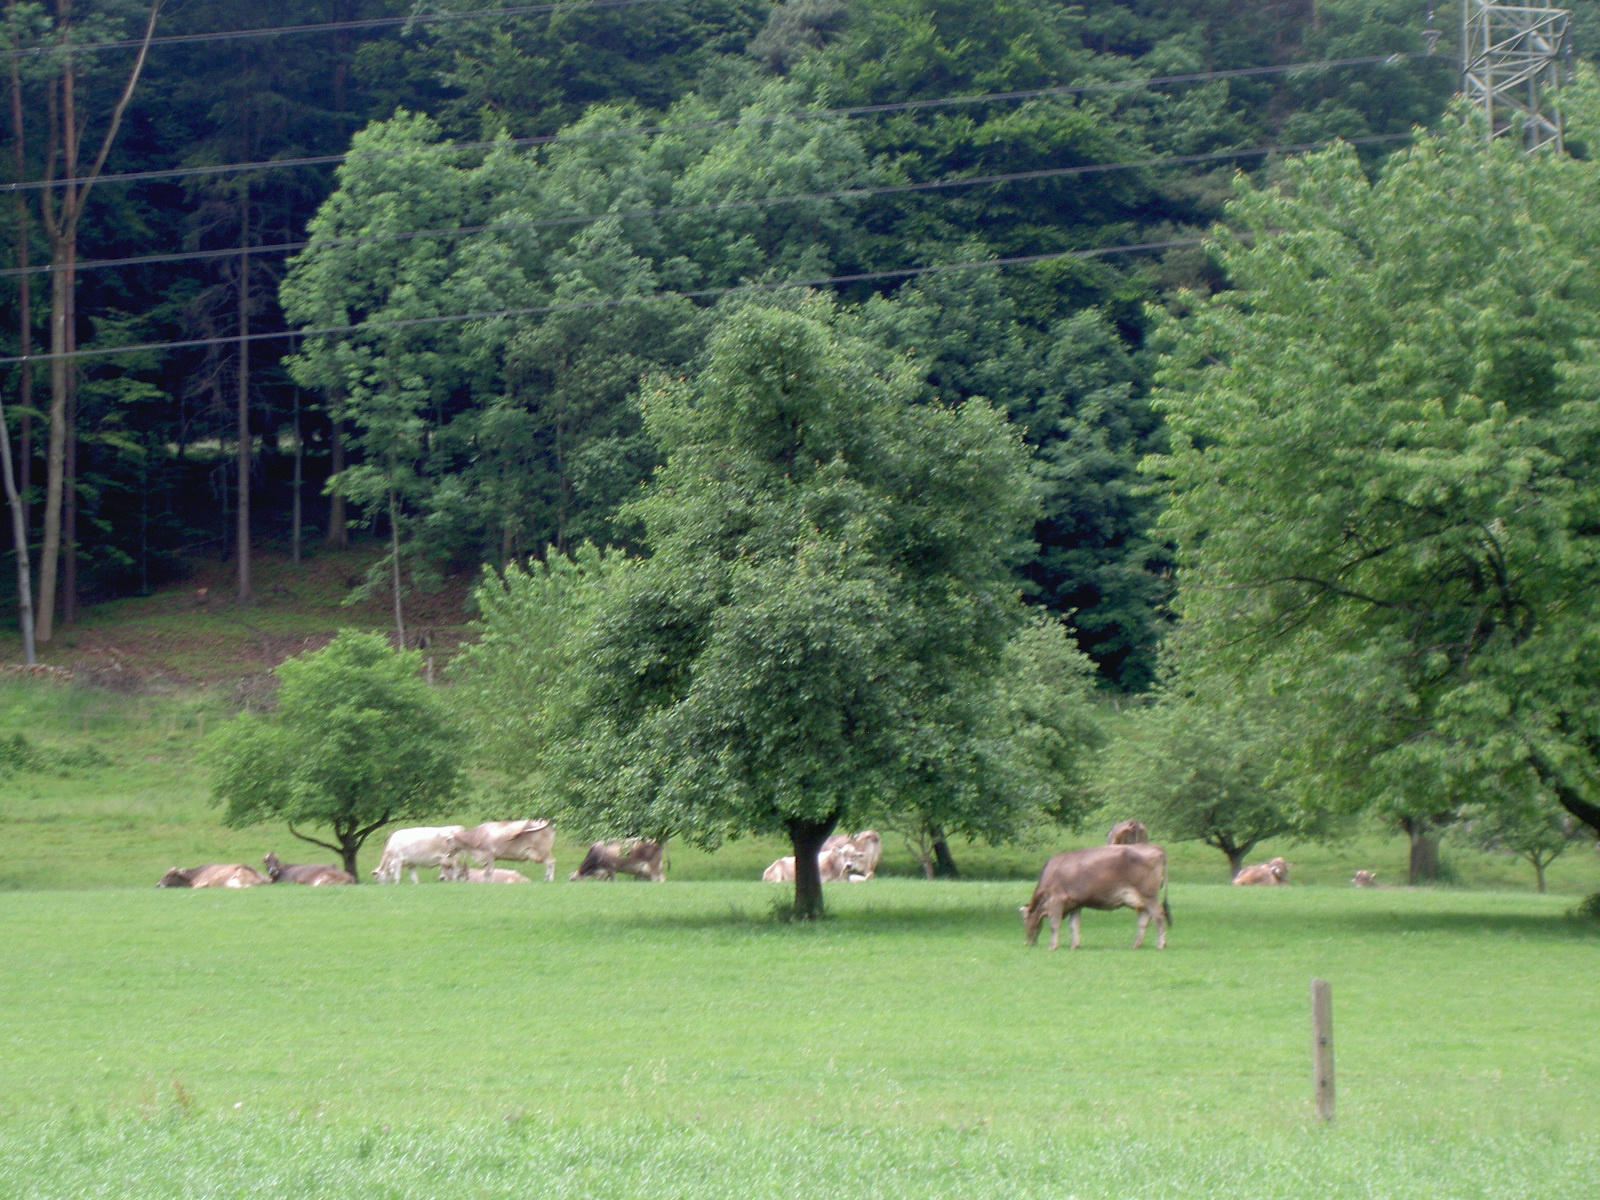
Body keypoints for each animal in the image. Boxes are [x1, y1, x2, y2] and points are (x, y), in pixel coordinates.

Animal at [1017, 838, 1171, 953]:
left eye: (1024, 920)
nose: (1027, 943)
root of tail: (1156, 847)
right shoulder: (1075, 903)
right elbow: (1074, 925)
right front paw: (1075, 945)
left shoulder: (1057, 900)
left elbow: (1054, 924)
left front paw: (1052, 946)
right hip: (1140, 899)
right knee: (1144, 918)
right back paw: (1136, 945)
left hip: (1149, 895)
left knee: (1158, 915)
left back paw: (1161, 944)